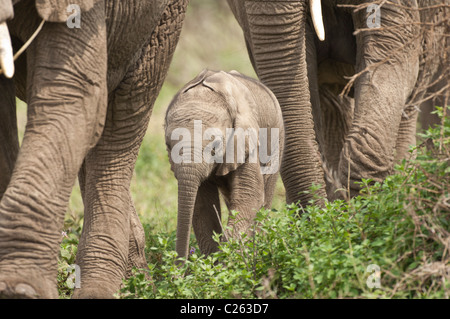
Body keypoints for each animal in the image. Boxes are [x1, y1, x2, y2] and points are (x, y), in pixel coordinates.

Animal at [165, 69, 284, 260]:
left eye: (216, 146)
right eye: (168, 146)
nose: (180, 265)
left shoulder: (247, 138)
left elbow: (248, 196)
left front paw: (228, 260)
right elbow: (202, 204)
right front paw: (213, 262)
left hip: (277, 139)